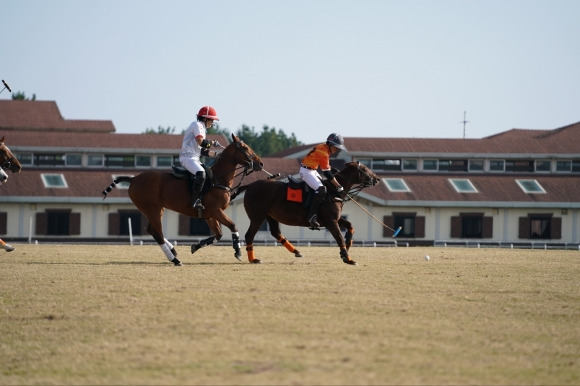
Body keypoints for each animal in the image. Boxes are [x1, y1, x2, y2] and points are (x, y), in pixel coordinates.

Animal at [103, 135, 264, 266]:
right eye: (245, 148)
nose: (260, 164)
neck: (219, 179)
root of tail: (134, 179)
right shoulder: (216, 211)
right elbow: (233, 226)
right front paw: (238, 252)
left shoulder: (209, 215)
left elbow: (218, 234)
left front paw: (195, 246)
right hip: (152, 209)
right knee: (158, 233)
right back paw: (175, 259)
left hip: (156, 209)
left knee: (152, 230)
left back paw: (173, 251)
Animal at [237, 161, 380, 266]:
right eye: (364, 169)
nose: (377, 179)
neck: (332, 191)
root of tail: (250, 186)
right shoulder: (331, 221)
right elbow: (339, 237)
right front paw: (347, 258)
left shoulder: (334, 219)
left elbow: (350, 225)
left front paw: (348, 244)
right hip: (257, 217)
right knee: (249, 235)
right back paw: (253, 259)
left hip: (270, 216)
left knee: (275, 232)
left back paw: (296, 251)